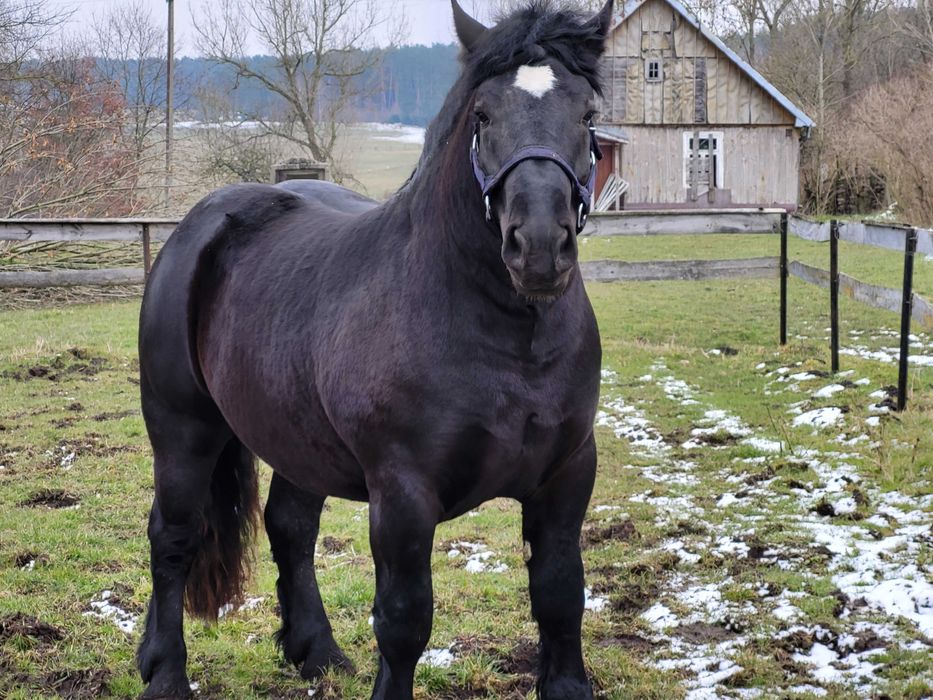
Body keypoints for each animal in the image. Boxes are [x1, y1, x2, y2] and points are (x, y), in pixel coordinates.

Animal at [135, 2, 608, 696]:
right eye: (482, 115)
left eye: (587, 114)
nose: (540, 246)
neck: (510, 341)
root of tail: (202, 223)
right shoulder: (402, 496)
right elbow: (405, 620)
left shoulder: (567, 475)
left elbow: (559, 594)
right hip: (183, 431)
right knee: (172, 537)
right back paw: (165, 671)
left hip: (295, 437)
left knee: (290, 528)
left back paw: (315, 651)